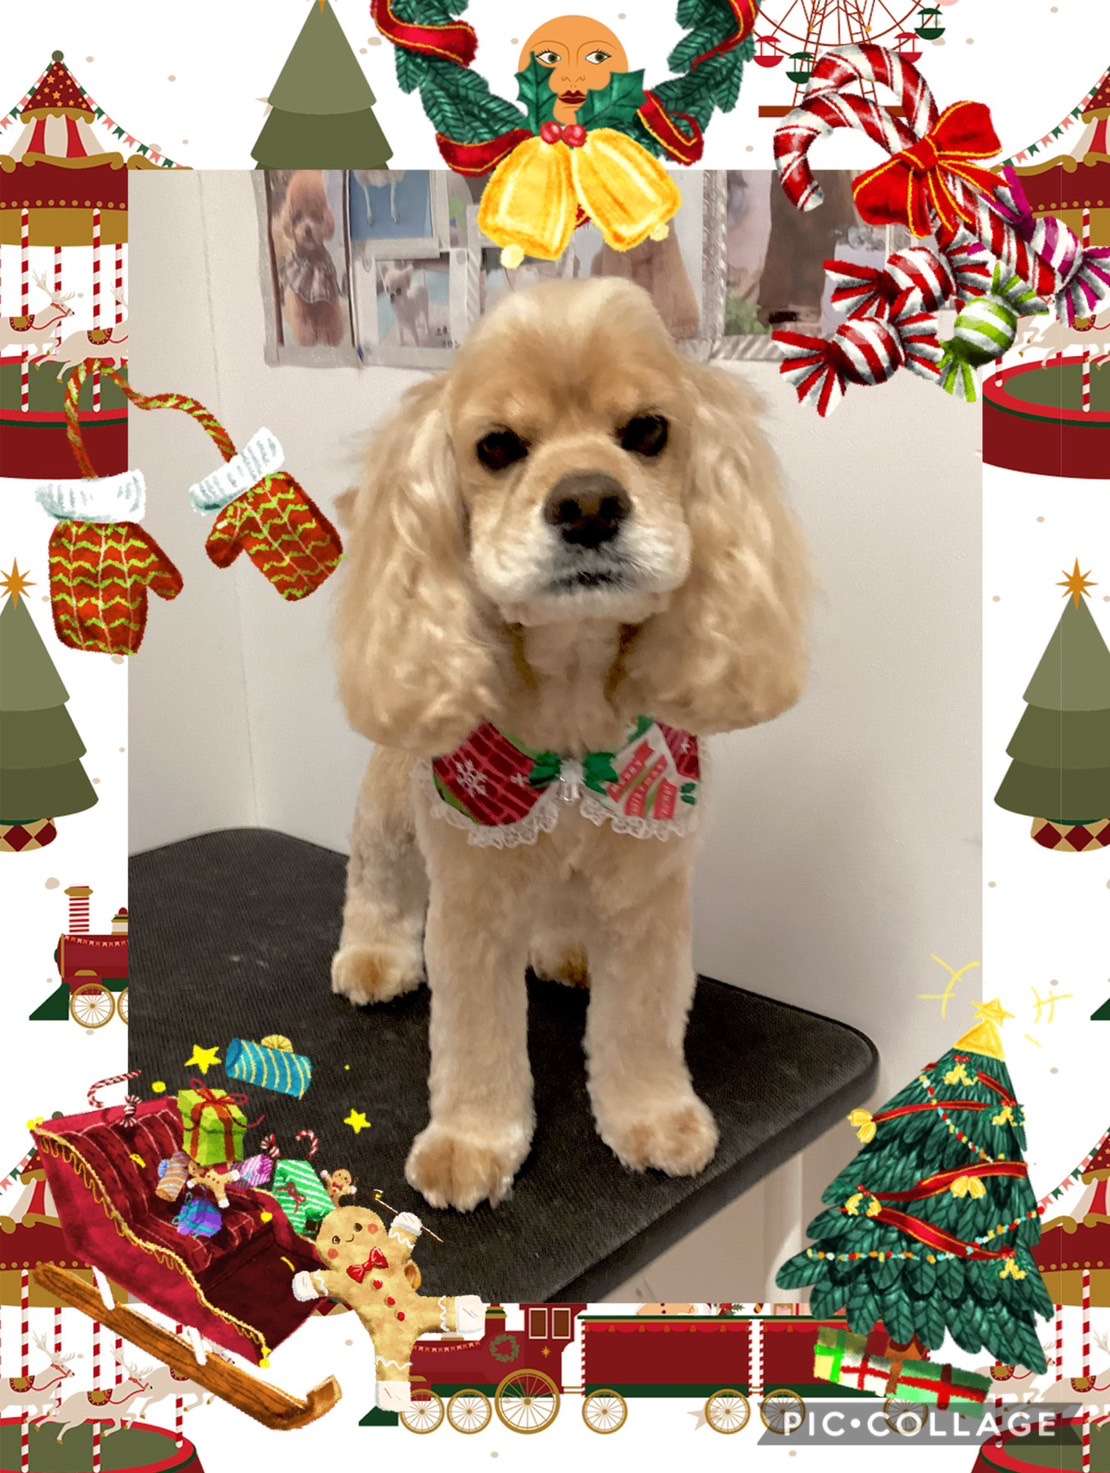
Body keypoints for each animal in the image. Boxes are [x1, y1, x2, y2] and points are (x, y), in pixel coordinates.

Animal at [271, 171, 346, 347]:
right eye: (297, 216)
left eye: (315, 215)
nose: (307, 230)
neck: (312, 260)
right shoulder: (301, 307)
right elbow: (304, 325)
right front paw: (309, 341)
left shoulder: (328, 303)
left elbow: (331, 322)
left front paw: (330, 339)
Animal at [332, 278, 810, 1212]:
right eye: (496, 446)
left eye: (648, 431)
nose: (589, 502)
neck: (573, 706)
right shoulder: (471, 905)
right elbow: (475, 1037)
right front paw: (472, 1143)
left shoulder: (651, 896)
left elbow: (643, 1022)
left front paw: (654, 1119)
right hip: (390, 800)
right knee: (375, 873)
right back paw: (372, 954)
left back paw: (563, 952)